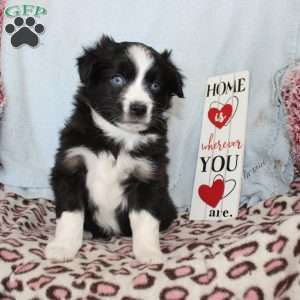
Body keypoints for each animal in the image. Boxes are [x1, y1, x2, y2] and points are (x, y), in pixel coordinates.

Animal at [45, 35, 184, 264]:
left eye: (155, 85)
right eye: (117, 79)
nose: (139, 108)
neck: (117, 138)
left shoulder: (148, 176)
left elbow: (145, 220)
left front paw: (148, 252)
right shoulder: (71, 166)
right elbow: (71, 214)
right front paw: (63, 247)